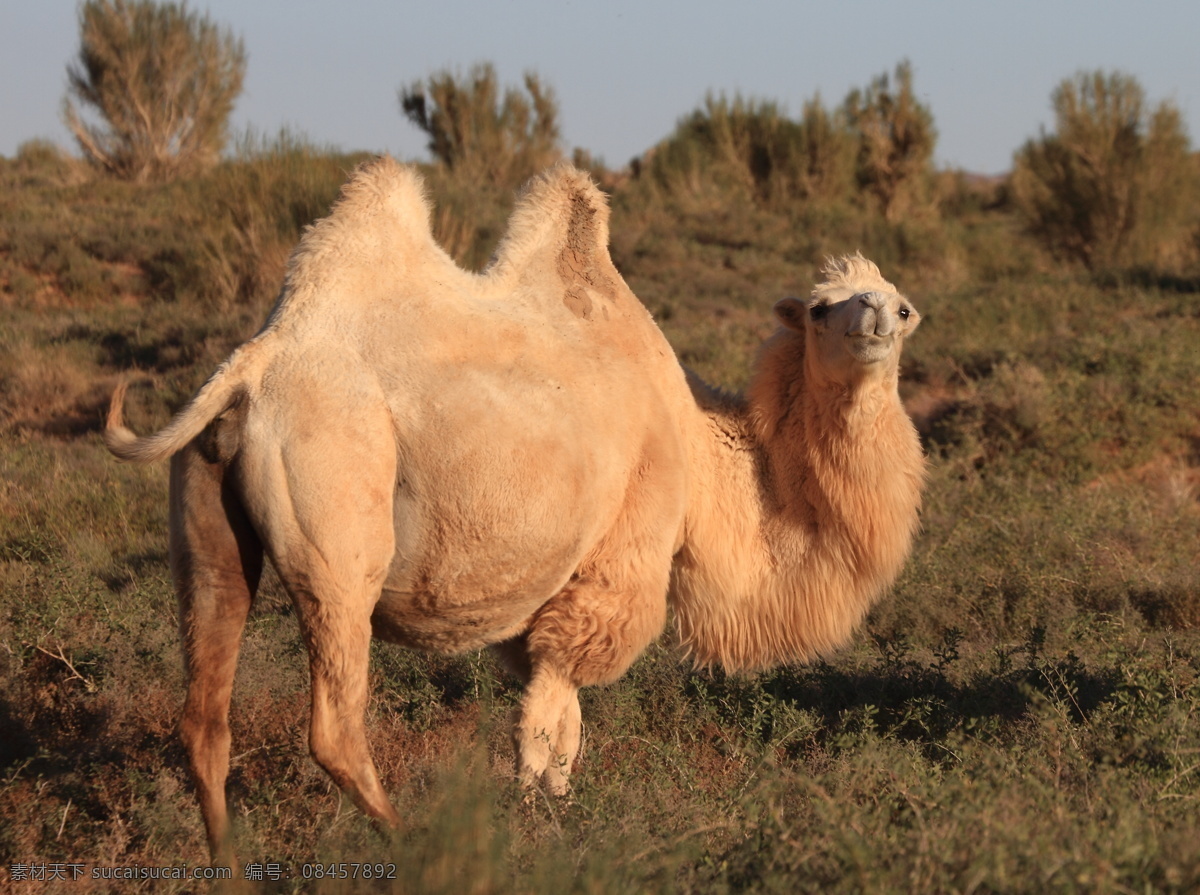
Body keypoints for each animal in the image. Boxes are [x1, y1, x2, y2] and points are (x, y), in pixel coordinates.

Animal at [105, 157, 926, 854]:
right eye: (821, 309)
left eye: (904, 306)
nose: (878, 318)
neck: (699, 451)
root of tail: (255, 365)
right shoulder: (612, 570)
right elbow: (548, 736)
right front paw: (543, 831)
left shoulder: (546, 601)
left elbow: (559, 732)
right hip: (339, 502)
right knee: (334, 719)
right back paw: (413, 842)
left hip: (207, 518)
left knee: (205, 715)